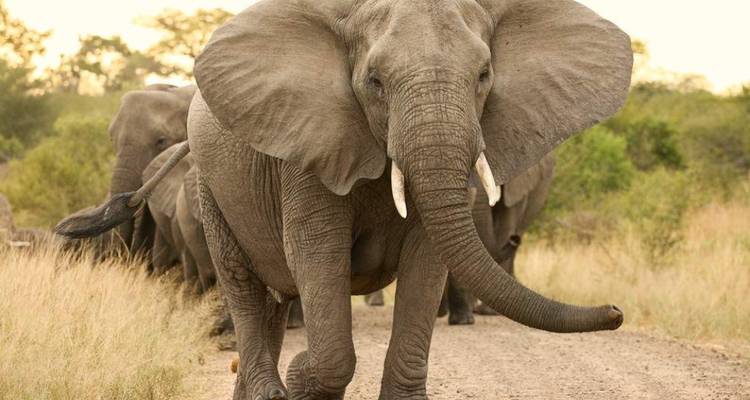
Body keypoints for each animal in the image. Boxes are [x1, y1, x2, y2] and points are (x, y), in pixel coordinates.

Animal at [56, 0, 632, 398]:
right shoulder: (305, 149)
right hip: (211, 188)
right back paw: (270, 384)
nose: (616, 311)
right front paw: (303, 373)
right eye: (374, 81)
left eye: (484, 76)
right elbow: (318, 259)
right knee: (244, 283)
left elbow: (428, 261)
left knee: (272, 299)